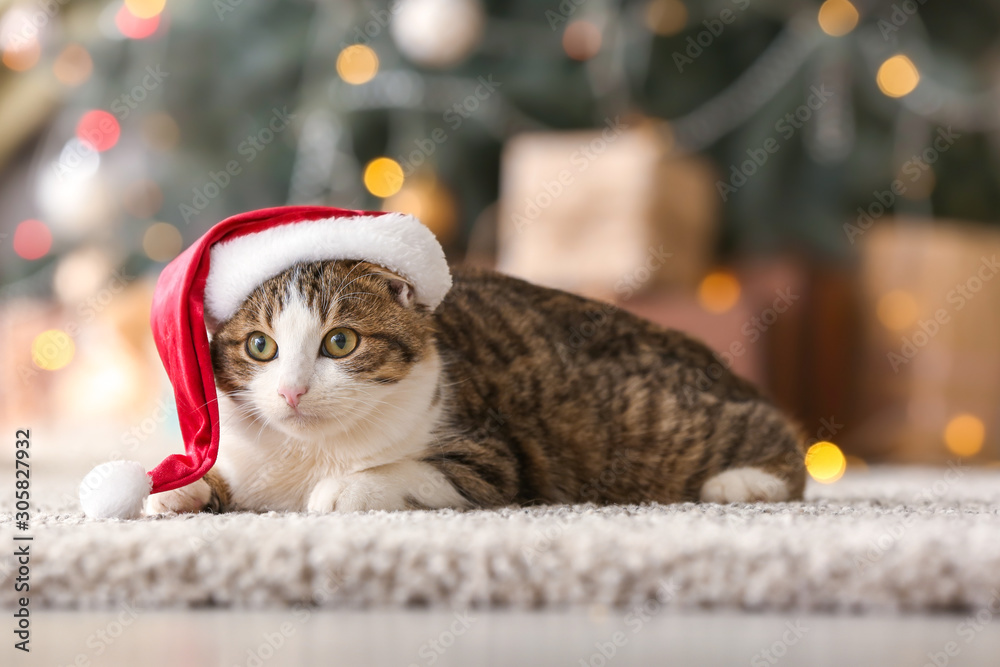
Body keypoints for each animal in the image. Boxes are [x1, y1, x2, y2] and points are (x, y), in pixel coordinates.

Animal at [146, 258, 804, 516]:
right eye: (260, 347)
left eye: (340, 342)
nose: (291, 392)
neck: (311, 450)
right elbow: (217, 478)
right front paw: (176, 487)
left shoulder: (489, 459)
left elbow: (406, 471)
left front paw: (341, 488)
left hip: (654, 419)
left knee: (773, 430)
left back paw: (746, 480)